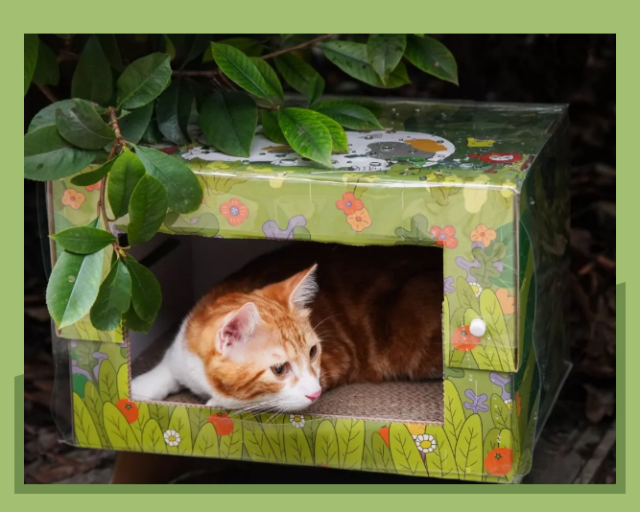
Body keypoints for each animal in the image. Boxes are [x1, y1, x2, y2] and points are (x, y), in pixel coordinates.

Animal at [130, 242, 443, 412]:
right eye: (279, 369)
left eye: (314, 352)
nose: (316, 394)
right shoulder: (183, 349)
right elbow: (167, 367)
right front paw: (139, 387)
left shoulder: (337, 359)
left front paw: (220, 402)